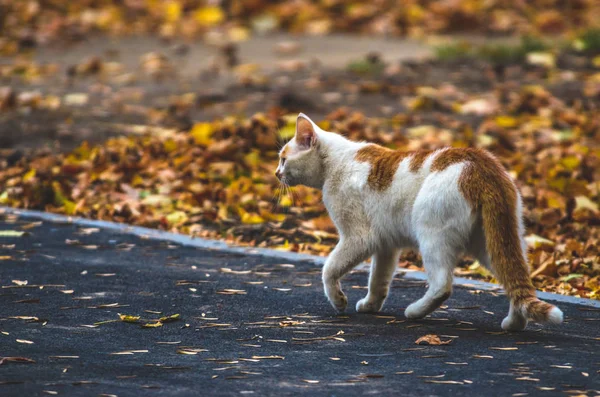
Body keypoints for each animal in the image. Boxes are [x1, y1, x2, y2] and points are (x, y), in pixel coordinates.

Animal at [274, 113, 564, 330]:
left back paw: (415, 311)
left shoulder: (359, 238)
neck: (338, 161)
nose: (276, 173)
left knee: (443, 285)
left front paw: (338, 301)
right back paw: (514, 323)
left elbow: (329, 270)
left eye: (283, 158)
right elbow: (378, 280)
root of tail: (480, 164)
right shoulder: (386, 245)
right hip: (493, 244)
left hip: (432, 236)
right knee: (517, 281)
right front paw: (371, 305)